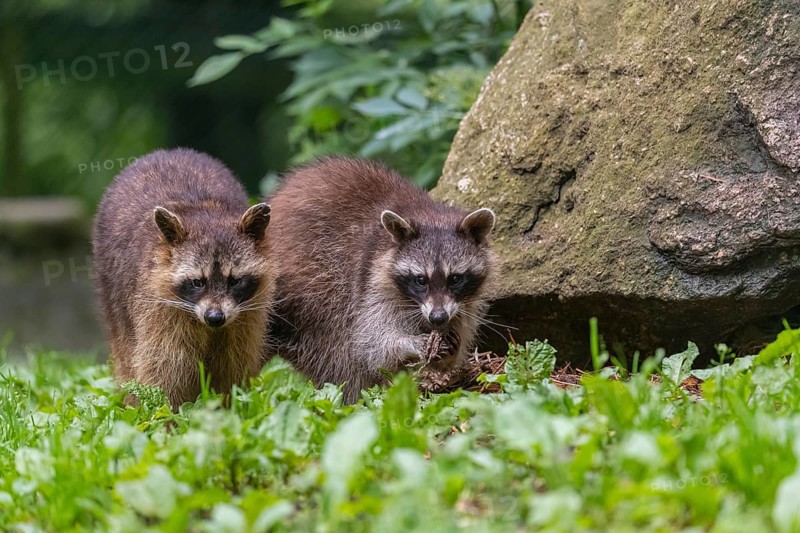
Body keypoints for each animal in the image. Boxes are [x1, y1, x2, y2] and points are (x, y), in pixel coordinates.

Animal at [92, 148, 273, 408]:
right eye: (198, 282)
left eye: (235, 281)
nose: (215, 317)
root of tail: (166, 152)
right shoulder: (157, 308)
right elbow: (164, 369)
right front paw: (165, 414)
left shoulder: (248, 316)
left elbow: (234, 365)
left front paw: (230, 407)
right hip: (112, 291)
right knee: (125, 353)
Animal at [266, 157, 495, 402]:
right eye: (420, 280)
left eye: (455, 279)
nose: (438, 318)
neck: (429, 215)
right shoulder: (372, 279)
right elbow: (372, 341)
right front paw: (408, 343)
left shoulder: (464, 305)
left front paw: (451, 352)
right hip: (310, 287)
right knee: (338, 346)